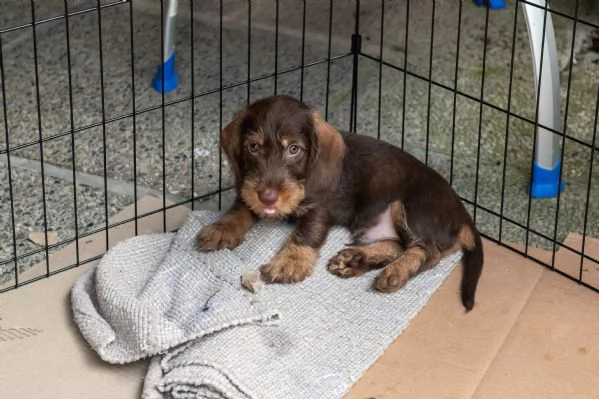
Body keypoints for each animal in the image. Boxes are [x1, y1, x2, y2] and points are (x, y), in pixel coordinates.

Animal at [195, 94, 486, 312]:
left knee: (428, 252)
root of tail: (462, 212)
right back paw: (354, 259)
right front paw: (221, 229)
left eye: (294, 149)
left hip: (413, 208)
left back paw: (395, 273)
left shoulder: (322, 208)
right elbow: (240, 209)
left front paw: (290, 261)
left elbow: (306, 232)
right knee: (397, 246)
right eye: (253, 147)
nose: (268, 197)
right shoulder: (251, 189)